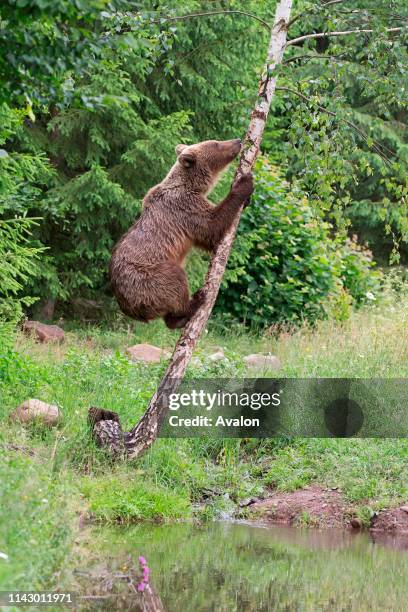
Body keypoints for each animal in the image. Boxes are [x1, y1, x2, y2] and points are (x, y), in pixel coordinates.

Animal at [110, 139, 253, 330]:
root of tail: (128, 308)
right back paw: (194, 302)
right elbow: (212, 228)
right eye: (216, 143)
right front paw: (245, 183)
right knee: (175, 279)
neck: (190, 185)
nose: (237, 140)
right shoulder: (185, 208)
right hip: (146, 279)